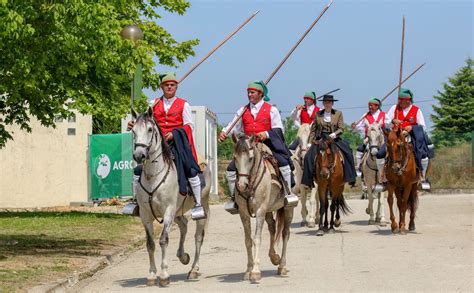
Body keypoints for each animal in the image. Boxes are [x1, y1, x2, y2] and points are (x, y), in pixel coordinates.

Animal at [131, 107, 209, 286]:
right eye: (133, 131)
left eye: (150, 129)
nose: (139, 155)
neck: (153, 176)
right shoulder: (145, 214)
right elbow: (150, 243)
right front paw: (152, 275)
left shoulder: (168, 211)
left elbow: (163, 240)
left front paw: (164, 274)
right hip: (178, 211)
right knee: (184, 225)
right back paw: (183, 256)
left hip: (201, 207)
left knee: (198, 237)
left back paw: (194, 269)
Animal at [232, 134, 294, 280]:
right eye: (234, 158)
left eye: (250, 158)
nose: (241, 185)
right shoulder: (243, 213)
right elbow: (248, 240)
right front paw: (248, 270)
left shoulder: (260, 211)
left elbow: (257, 239)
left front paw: (255, 271)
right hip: (268, 210)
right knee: (272, 228)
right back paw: (274, 257)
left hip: (288, 209)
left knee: (285, 233)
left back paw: (282, 266)